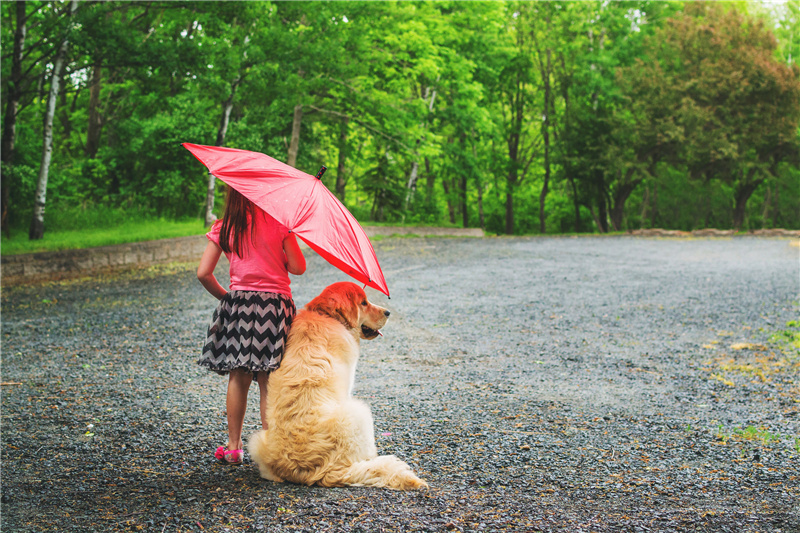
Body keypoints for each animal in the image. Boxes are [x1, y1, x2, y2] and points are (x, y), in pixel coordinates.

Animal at [248, 282, 428, 490]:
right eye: (364, 303)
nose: (388, 312)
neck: (325, 315)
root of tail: (320, 473)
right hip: (359, 412)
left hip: (258, 440)